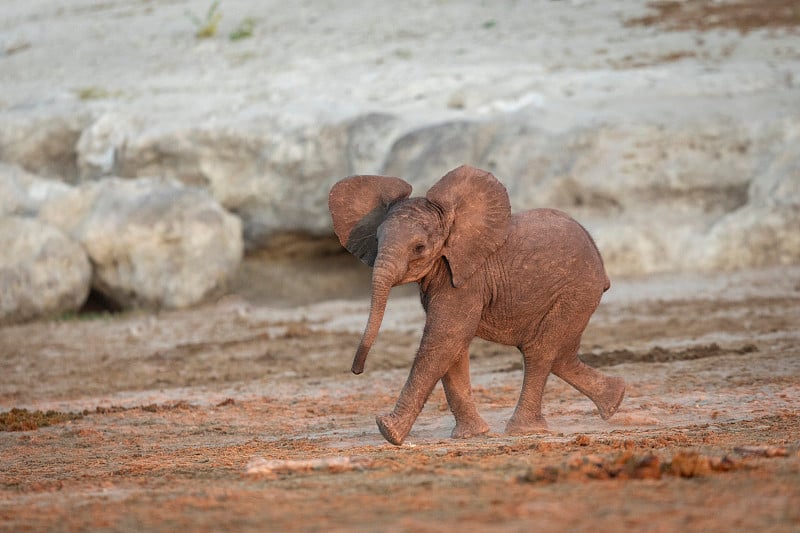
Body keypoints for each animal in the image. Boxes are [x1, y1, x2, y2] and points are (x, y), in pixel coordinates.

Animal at [326, 164, 624, 442]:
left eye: (419, 248)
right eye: (376, 240)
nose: (356, 370)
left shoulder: (467, 280)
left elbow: (445, 337)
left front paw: (389, 432)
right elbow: (453, 347)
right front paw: (472, 435)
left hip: (576, 290)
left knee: (540, 350)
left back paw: (524, 429)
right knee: (561, 354)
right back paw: (615, 400)